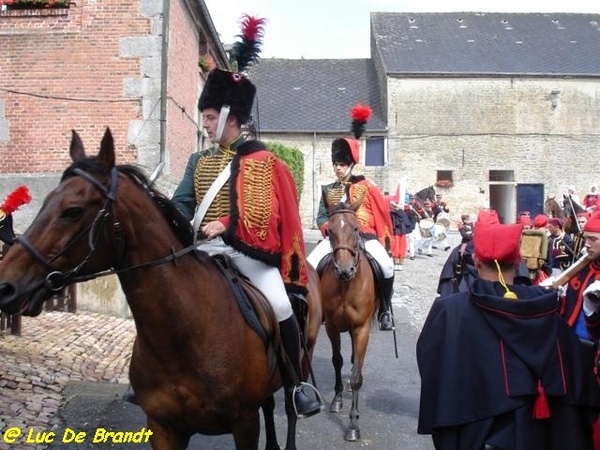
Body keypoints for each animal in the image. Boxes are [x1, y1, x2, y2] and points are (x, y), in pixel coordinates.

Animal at [0, 129, 324, 450]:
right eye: (45, 201)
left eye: (73, 211)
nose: (6, 285)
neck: (183, 335)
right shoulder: (164, 428)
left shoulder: (244, 424)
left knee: (289, 411)